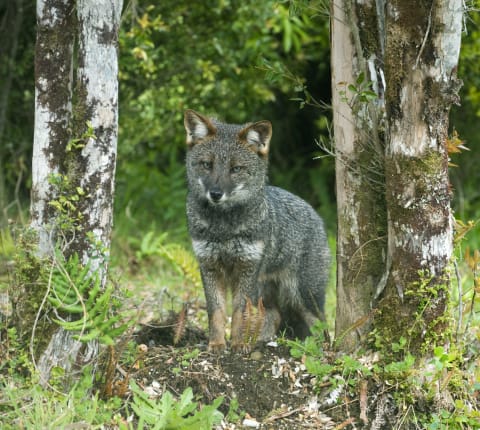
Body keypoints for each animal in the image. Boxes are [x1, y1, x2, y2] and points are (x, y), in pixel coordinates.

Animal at [184, 110, 330, 352]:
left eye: (236, 169)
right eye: (207, 165)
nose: (215, 194)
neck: (224, 229)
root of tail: (315, 213)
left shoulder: (247, 268)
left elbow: (239, 313)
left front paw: (238, 344)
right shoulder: (209, 266)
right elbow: (216, 312)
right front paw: (217, 344)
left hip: (303, 294)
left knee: (322, 325)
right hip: (268, 291)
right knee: (275, 315)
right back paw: (264, 341)